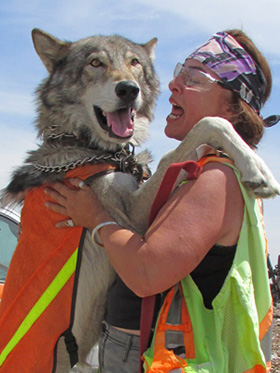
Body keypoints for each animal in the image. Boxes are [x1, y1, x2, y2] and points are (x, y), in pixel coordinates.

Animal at [0, 29, 280, 372]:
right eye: (95, 63)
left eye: (134, 63)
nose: (128, 90)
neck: (86, 146)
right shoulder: (131, 218)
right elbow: (203, 129)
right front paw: (259, 171)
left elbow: (194, 138)